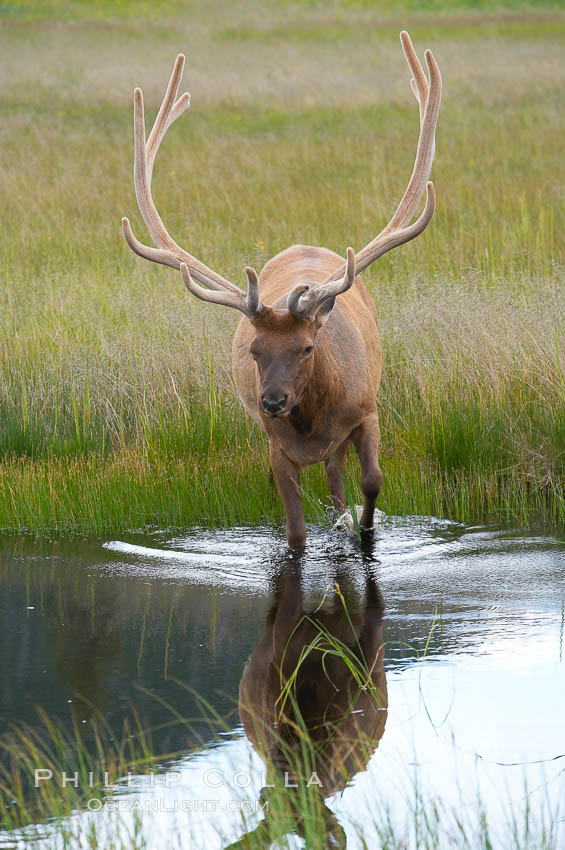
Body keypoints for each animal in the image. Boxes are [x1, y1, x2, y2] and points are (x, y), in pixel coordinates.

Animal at [122, 31, 440, 544]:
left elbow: (372, 482)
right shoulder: (275, 445)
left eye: (307, 347)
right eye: (254, 350)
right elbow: (294, 530)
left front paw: (364, 531)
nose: (272, 401)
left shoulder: (367, 412)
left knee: (337, 478)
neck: (313, 420)